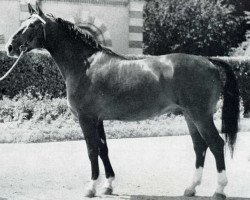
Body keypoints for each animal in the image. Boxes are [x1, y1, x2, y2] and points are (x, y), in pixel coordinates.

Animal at [4, 3, 239, 200]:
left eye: (32, 25)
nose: (9, 47)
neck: (85, 64)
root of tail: (209, 61)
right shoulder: (97, 119)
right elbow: (103, 149)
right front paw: (108, 185)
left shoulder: (86, 118)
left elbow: (92, 150)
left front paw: (91, 188)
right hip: (190, 116)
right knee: (200, 146)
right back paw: (191, 188)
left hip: (201, 116)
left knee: (216, 144)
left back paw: (219, 190)